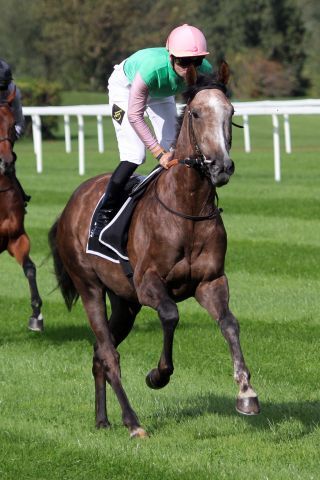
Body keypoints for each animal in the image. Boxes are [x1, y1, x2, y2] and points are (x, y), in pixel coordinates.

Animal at [49, 62, 260, 436]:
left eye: (231, 111)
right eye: (196, 112)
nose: (221, 166)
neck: (187, 209)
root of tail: (71, 203)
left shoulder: (210, 282)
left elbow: (229, 323)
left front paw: (246, 393)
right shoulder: (148, 284)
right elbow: (171, 315)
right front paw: (158, 375)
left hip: (124, 302)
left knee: (99, 353)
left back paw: (103, 419)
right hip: (90, 287)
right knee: (108, 353)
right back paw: (133, 422)